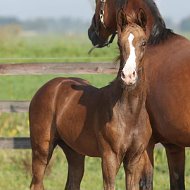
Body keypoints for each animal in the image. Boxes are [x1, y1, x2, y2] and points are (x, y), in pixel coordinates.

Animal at [29, 16, 151, 190]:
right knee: (37, 183)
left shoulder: (135, 159)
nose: (128, 76)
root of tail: (46, 88)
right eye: (119, 43)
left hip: (74, 152)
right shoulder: (109, 158)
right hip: (42, 150)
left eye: (144, 42)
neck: (129, 114)